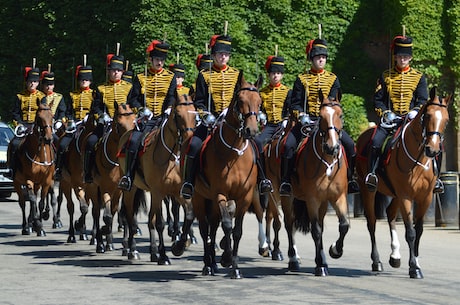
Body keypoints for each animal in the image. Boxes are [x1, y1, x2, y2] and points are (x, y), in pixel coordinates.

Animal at [11, 102, 55, 235]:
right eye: (39, 118)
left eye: (52, 116)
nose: (48, 138)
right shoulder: (28, 180)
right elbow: (32, 200)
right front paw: (37, 223)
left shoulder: (46, 181)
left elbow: (40, 202)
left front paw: (39, 226)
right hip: (17, 182)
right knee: (23, 202)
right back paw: (26, 226)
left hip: (37, 183)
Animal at [117, 92, 196, 262]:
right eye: (178, 115)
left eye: (195, 115)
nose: (189, 139)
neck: (171, 156)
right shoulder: (158, 192)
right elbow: (160, 223)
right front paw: (164, 256)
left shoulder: (177, 192)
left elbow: (189, 214)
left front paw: (179, 246)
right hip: (130, 189)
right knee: (129, 216)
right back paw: (132, 249)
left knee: (149, 219)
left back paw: (153, 251)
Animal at [191, 72, 262, 278]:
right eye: (240, 100)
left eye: (259, 102)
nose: (251, 131)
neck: (234, 153)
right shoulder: (220, 194)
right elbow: (227, 225)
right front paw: (227, 258)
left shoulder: (245, 197)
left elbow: (236, 230)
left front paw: (235, 267)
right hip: (200, 198)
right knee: (205, 229)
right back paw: (208, 264)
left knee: (213, 227)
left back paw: (213, 263)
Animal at [290, 91, 350, 276]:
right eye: (321, 116)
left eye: (340, 115)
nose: (332, 147)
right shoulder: (312, 199)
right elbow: (315, 230)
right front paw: (319, 266)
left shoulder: (339, 197)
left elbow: (344, 225)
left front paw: (335, 250)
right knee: (288, 225)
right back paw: (293, 259)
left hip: (323, 203)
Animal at [356, 86, 450, 278]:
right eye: (427, 116)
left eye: (446, 120)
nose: (432, 150)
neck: (418, 158)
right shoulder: (406, 196)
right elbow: (411, 232)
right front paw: (414, 267)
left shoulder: (425, 197)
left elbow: (419, 230)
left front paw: (416, 263)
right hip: (368, 189)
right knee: (372, 222)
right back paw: (376, 262)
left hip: (395, 194)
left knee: (390, 214)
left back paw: (395, 255)